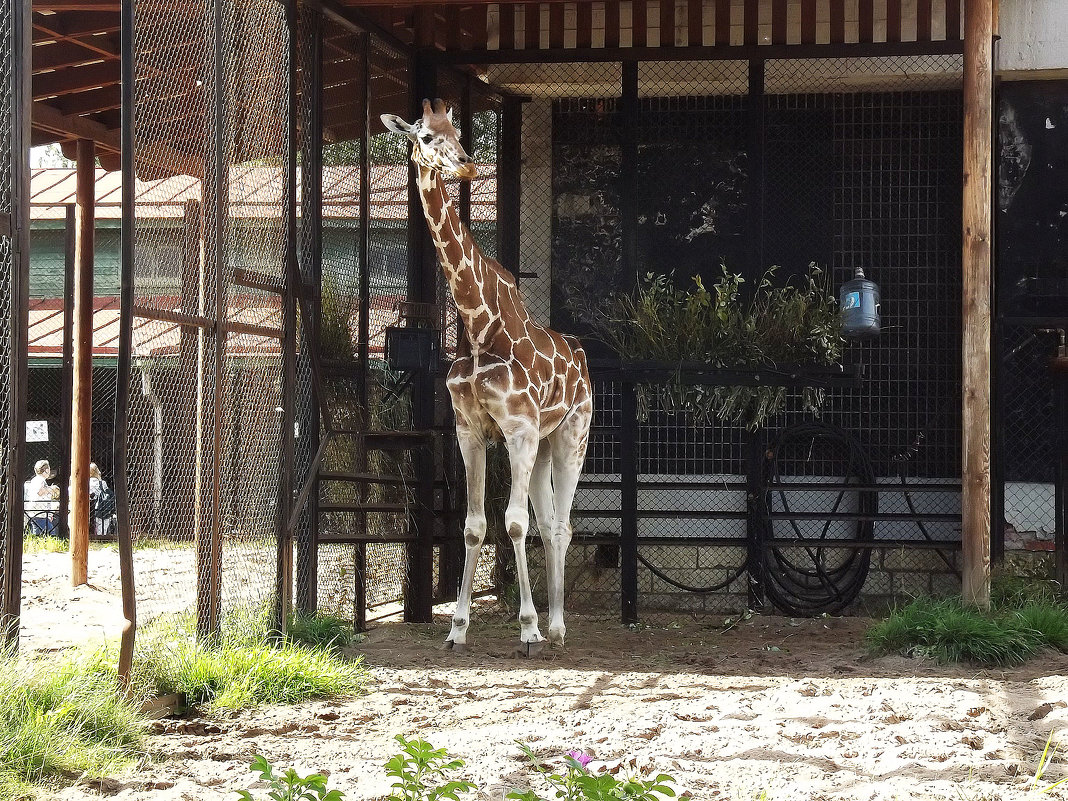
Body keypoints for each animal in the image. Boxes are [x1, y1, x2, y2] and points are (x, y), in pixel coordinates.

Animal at [384, 97, 598, 653]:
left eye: (459, 133)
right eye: (425, 136)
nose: (466, 166)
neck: (480, 327)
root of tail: (581, 357)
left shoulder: (518, 430)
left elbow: (514, 524)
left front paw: (527, 627)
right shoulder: (472, 431)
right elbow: (475, 526)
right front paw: (457, 628)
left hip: (572, 436)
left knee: (561, 524)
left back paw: (557, 627)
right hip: (542, 446)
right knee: (549, 520)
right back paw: (554, 621)